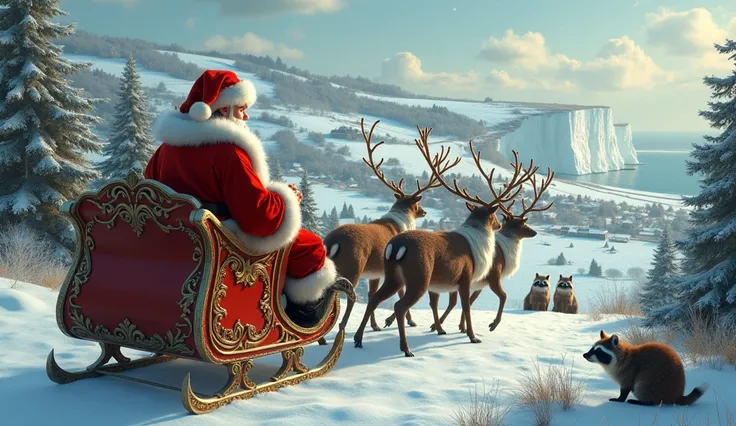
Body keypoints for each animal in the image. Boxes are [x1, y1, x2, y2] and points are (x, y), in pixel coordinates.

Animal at [584, 330, 712, 406]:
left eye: (599, 351)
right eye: (592, 348)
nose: (584, 355)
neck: (622, 355)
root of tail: (675, 395)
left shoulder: (628, 371)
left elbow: (626, 388)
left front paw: (620, 398)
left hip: (653, 380)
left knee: (643, 388)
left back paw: (643, 402)